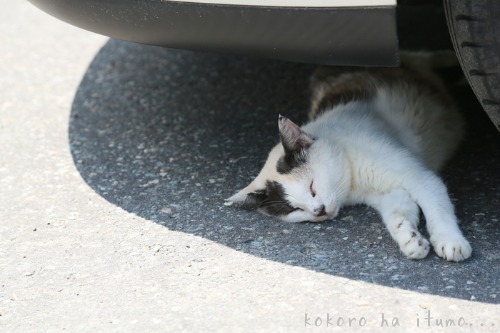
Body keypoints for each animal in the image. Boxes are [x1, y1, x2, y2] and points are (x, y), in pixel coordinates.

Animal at [227, 53, 472, 262]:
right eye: (295, 210)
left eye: (312, 187)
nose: (318, 211)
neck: (354, 180)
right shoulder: (390, 194)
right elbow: (397, 215)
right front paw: (410, 240)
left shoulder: (419, 177)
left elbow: (437, 206)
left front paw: (450, 240)